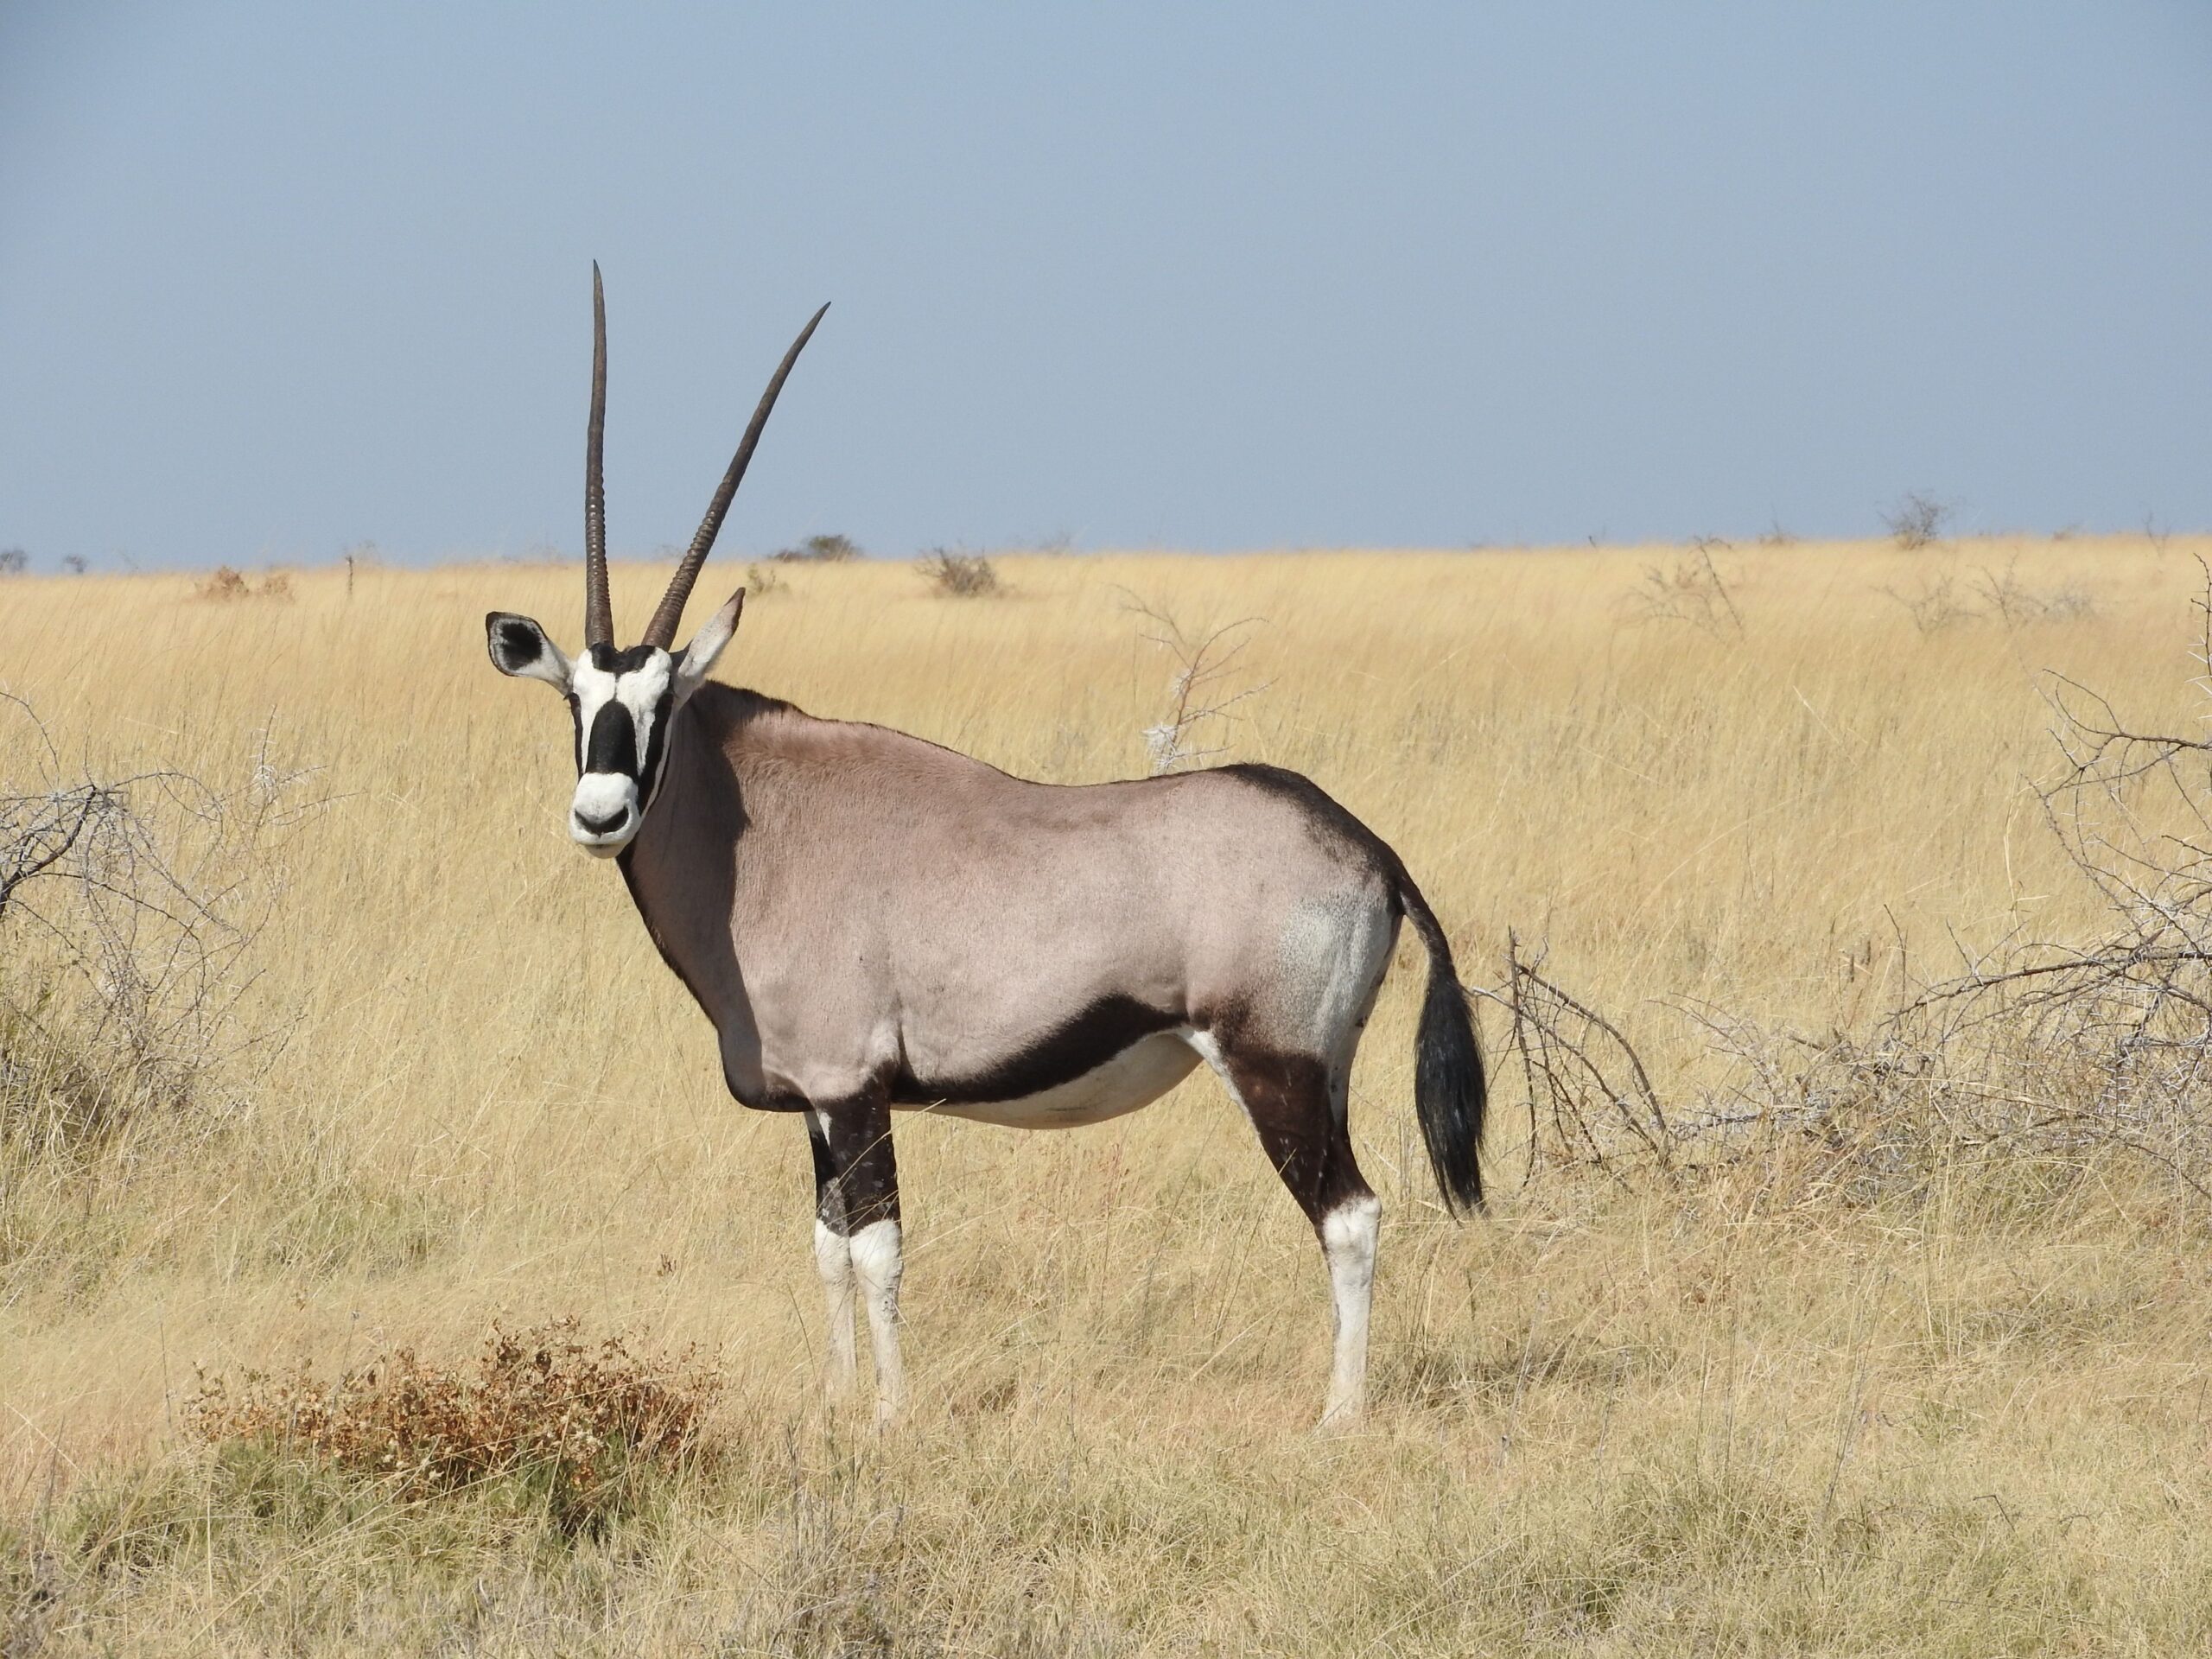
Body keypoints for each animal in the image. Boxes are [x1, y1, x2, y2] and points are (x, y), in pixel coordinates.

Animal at [484, 269, 1485, 1427]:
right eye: (576, 700)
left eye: (660, 704)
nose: (601, 814)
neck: (765, 833)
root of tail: (1367, 847)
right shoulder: (813, 1107)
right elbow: (824, 1250)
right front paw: (834, 1402)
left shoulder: (854, 1091)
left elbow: (875, 1250)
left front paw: (889, 1416)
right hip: (1320, 1073)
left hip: (1273, 1066)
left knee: (1350, 1216)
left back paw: (1338, 1416)